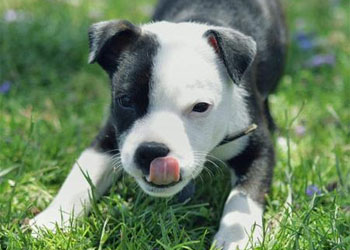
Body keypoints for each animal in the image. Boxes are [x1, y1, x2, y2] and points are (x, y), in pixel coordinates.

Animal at [29, 0, 288, 248]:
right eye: (125, 101)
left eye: (200, 107)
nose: (151, 152)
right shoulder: (110, 136)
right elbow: (81, 174)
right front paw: (51, 220)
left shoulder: (257, 147)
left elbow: (244, 196)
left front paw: (236, 238)